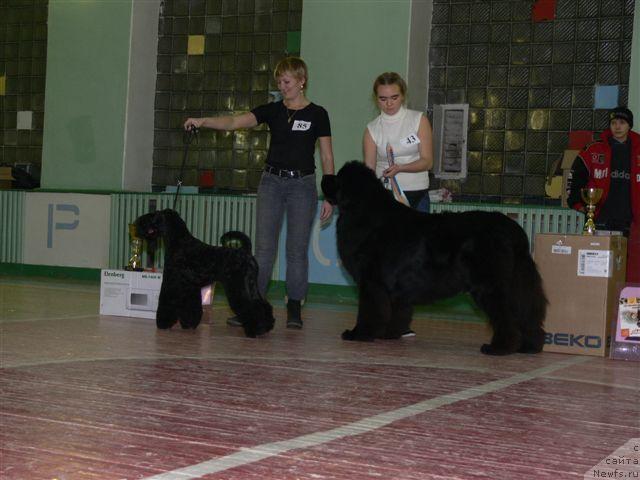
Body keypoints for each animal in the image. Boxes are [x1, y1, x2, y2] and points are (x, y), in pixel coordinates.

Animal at [134, 209, 274, 338]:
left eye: (153, 215)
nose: (138, 223)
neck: (179, 242)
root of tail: (246, 252)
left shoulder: (173, 282)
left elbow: (167, 301)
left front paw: (163, 323)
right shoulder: (190, 286)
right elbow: (190, 306)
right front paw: (189, 324)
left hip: (239, 287)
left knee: (251, 307)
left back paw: (254, 330)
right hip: (251, 286)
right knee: (262, 305)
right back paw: (265, 326)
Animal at [322, 163, 548, 354]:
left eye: (338, 178)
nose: (324, 176)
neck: (363, 211)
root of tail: (513, 230)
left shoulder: (371, 282)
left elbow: (369, 310)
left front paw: (359, 334)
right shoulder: (397, 287)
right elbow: (398, 310)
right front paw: (391, 334)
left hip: (489, 285)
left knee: (505, 314)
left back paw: (499, 348)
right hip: (518, 283)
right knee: (526, 312)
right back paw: (529, 346)